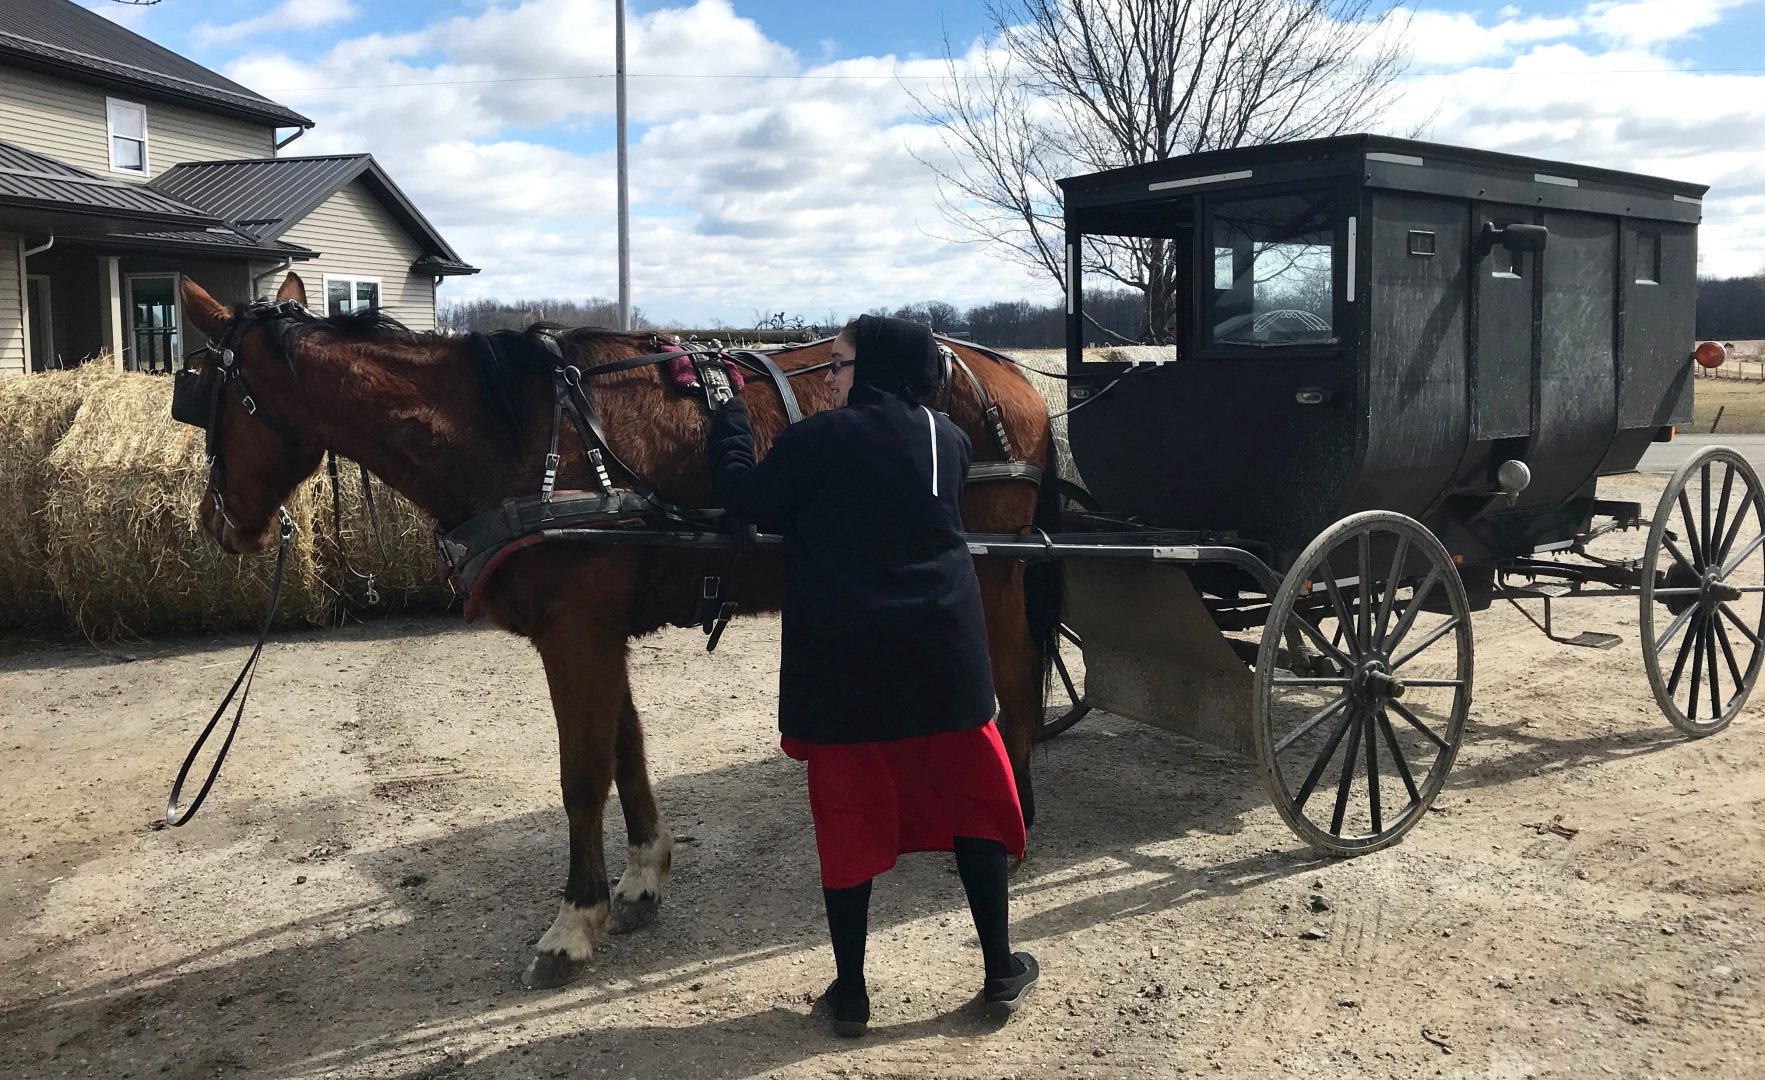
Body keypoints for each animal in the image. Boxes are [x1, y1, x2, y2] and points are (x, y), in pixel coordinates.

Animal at [180, 277, 1059, 988]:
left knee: (1014, 681)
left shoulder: (575, 633)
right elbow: (625, 750)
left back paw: (1010, 816)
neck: (518, 435)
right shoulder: (599, 632)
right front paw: (639, 878)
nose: (217, 526)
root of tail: (1005, 373)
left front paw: (574, 921)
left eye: (197, 395)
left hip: (992, 570)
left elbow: (581, 774)